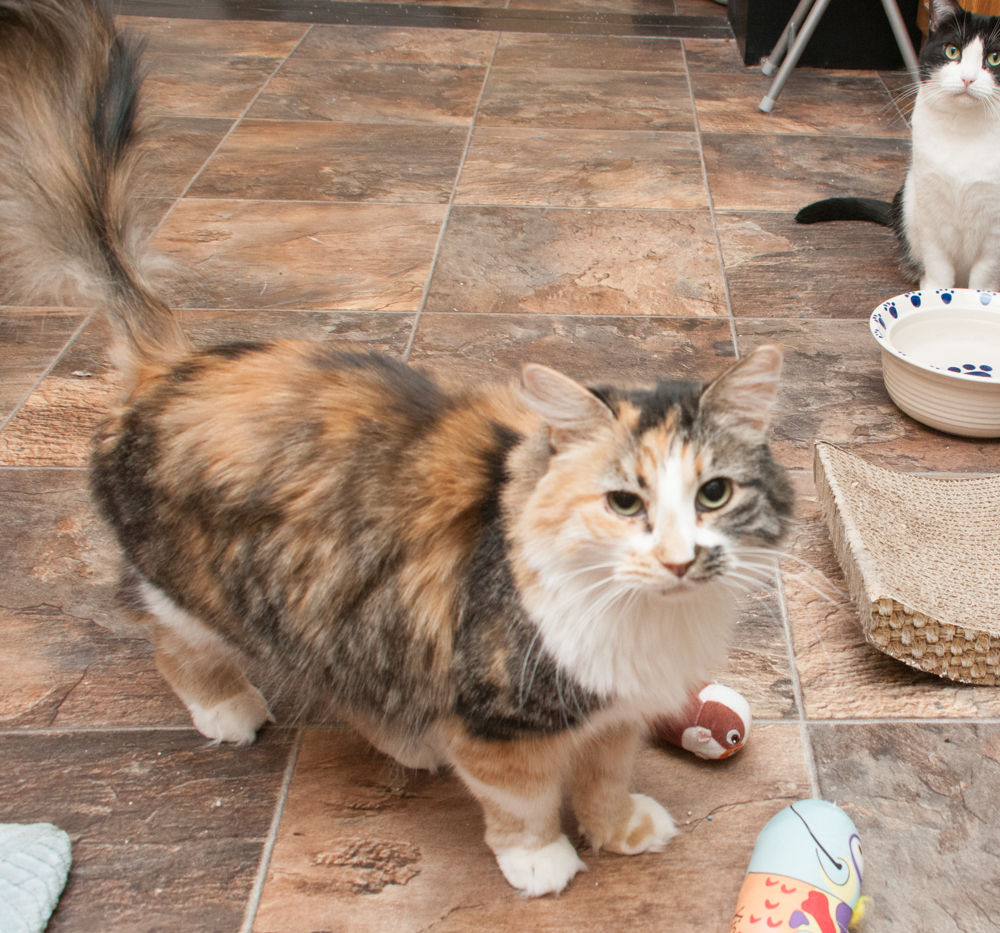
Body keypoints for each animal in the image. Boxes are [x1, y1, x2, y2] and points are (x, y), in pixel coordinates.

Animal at [1, 0, 796, 896]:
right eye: (624, 502)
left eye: (714, 493)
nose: (680, 559)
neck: (645, 620)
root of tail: (170, 359)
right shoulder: (502, 717)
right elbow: (523, 800)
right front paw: (542, 864)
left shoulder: (612, 710)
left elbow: (605, 777)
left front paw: (621, 830)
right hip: (201, 590)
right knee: (175, 642)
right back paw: (232, 710)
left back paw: (406, 742)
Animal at [796, 0, 1000, 290]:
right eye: (952, 51)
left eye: (994, 58)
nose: (968, 79)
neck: (964, 131)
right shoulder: (929, 206)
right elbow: (937, 262)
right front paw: (935, 296)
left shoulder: (994, 233)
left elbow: (983, 278)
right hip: (908, 200)